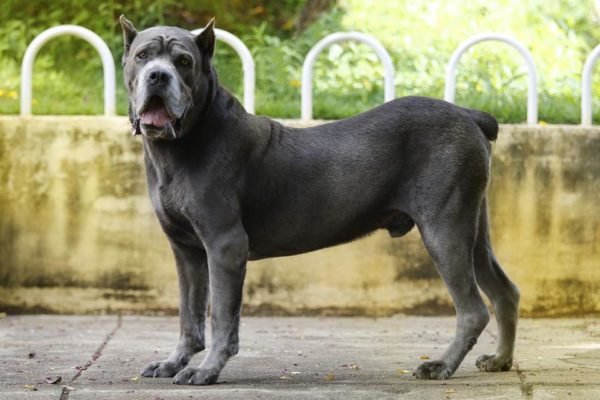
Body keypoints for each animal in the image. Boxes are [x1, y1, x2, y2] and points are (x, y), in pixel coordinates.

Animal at [118, 14, 520, 384]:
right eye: (142, 56)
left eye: (184, 61)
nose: (158, 77)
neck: (184, 142)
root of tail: (469, 113)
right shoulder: (186, 249)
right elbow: (189, 314)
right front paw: (173, 362)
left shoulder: (224, 244)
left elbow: (221, 316)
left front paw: (206, 369)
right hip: (471, 226)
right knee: (505, 292)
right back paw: (499, 359)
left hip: (444, 227)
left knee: (473, 309)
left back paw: (441, 365)